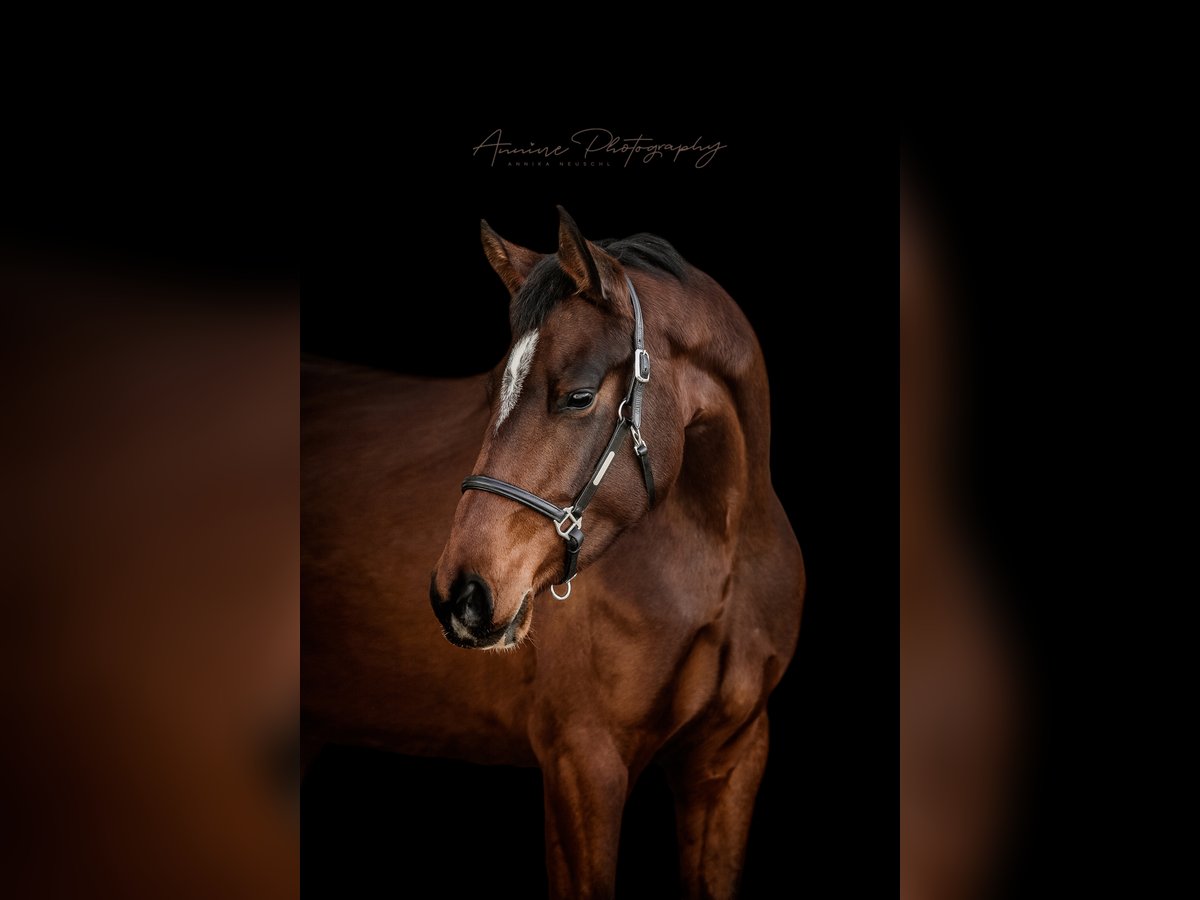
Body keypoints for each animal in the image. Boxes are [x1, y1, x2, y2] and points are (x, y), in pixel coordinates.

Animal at [300, 207, 806, 897]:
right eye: (494, 390)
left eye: (579, 396)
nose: (461, 593)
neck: (721, 558)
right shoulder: (582, 763)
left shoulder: (731, 760)